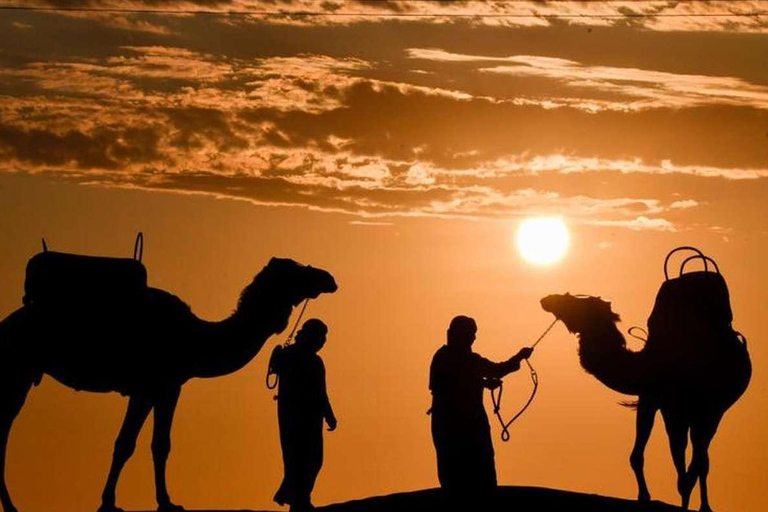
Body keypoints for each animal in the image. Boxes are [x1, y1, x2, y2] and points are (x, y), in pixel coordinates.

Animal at [0, 258, 340, 512]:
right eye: (295, 269)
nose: (329, 277)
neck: (196, 337)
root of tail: (5, 325)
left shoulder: (162, 388)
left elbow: (150, 444)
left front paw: (154, 502)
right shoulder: (153, 385)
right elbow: (134, 443)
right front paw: (124, 503)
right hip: (17, 370)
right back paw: (12, 506)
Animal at [540, 292, 752, 512]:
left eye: (576, 301)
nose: (547, 299)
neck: (643, 367)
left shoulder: (672, 405)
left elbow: (684, 461)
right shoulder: (651, 400)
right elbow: (641, 456)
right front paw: (644, 496)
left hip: (713, 410)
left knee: (700, 455)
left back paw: (705, 506)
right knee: (696, 452)